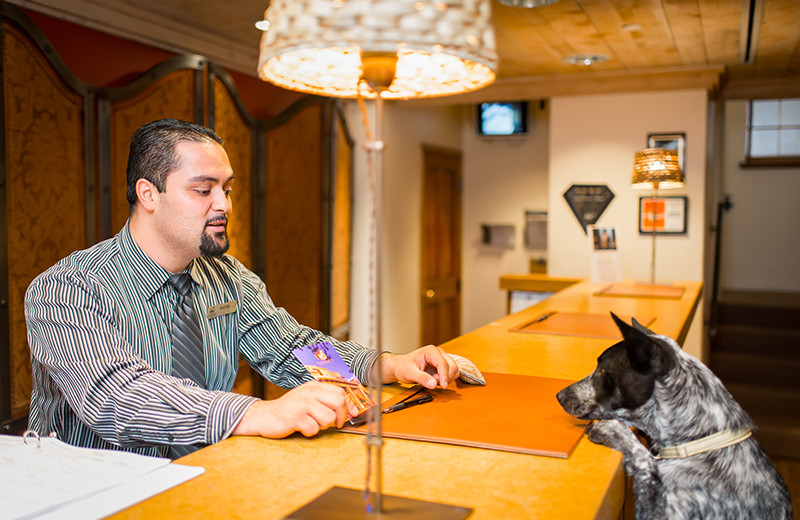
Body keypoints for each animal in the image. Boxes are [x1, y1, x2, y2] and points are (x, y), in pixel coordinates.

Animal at [556, 312, 792, 520]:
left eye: (602, 370)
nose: (559, 395)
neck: (700, 438)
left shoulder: (658, 513)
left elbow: (644, 460)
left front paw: (613, 430)